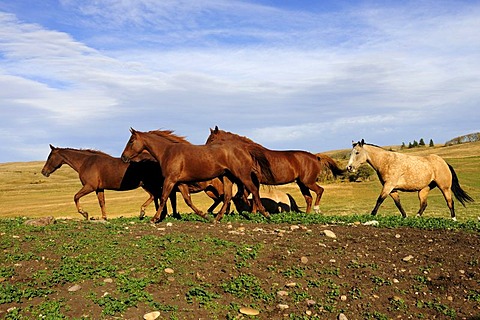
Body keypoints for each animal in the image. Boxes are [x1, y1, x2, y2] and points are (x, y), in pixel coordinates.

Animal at [120, 127, 274, 222]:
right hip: (227, 177)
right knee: (227, 197)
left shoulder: (170, 180)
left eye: (131, 141)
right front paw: (204, 215)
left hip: (242, 176)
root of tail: (245, 148)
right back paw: (217, 218)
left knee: (253, 190)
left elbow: (163, 198)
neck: (168, 152)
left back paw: (265, 213)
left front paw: (154, 219)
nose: (123, 157)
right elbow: (188, 200)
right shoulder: (180, 183)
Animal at [204, 126, 344, 214]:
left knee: (319, 191)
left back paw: (316, 209)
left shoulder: (254, 180)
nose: (205, 151)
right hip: (301, 183)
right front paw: (254, 211)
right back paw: (307, 214)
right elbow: (249, 195)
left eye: (212, 139)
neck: (249, 153)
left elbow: (253, 195)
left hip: (307, 182)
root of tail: (316, 157)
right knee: (308, 198)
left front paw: (254, 212)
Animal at [346, 139, 474, 220]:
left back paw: (453, 219)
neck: (386, 161)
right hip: (423, 190)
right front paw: (405, 217)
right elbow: (398, 203)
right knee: (424, 204)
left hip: (445, 187)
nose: (349, 167)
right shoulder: (392, 189)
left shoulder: (388, 186)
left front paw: (372, 216)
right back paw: (416, 217)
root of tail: (444, 163)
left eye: (357, 152)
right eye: (351, 153)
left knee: (450, 202)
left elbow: (379, 200)